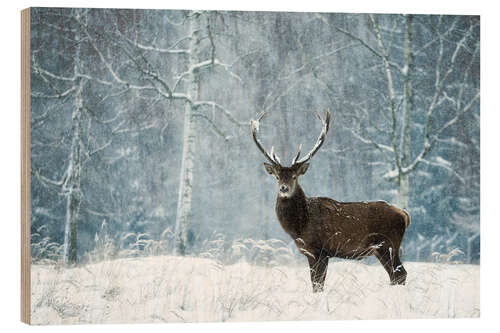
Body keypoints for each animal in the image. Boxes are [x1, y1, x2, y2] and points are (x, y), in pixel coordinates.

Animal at [250, 109, 410, 290]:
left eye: (294, 176)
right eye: (277, 177)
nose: (284, 188)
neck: (300, 225)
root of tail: (404, 215)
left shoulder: (321, 250)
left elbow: (318, 284)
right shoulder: (309, 252)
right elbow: (314, 283)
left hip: (388, 244)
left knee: (400, 274)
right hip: (382, 249)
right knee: (395, 275)